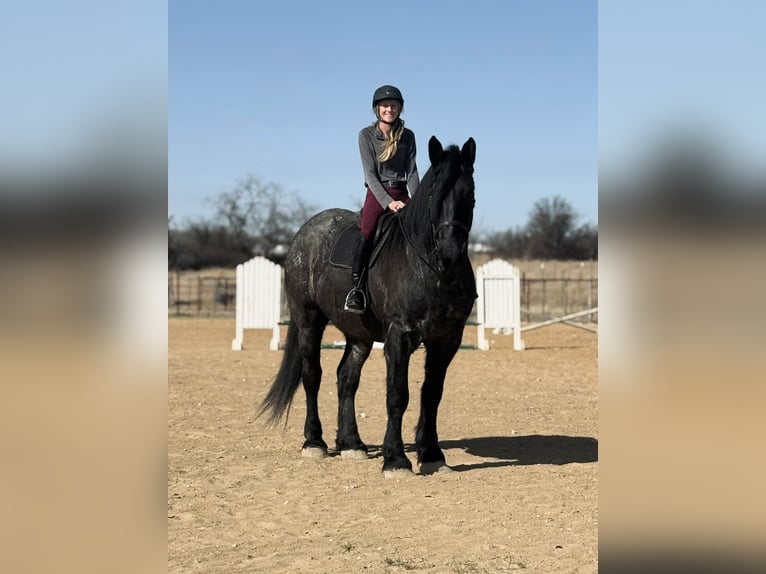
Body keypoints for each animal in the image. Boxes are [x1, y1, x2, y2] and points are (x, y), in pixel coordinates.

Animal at [259, 136, 477, 477]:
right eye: (434, 193)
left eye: (468, 193)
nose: (450, 252)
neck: (430, 268)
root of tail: (305, 232)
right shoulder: (399, 336)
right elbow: (398, 394)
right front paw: (396, 459)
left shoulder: (447, 340)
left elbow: (431, 395)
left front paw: (432, 455)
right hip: (309, 321)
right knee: (312, 376)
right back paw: (314, 442)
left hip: (358, 334)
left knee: (346, 378)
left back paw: (351, 444)